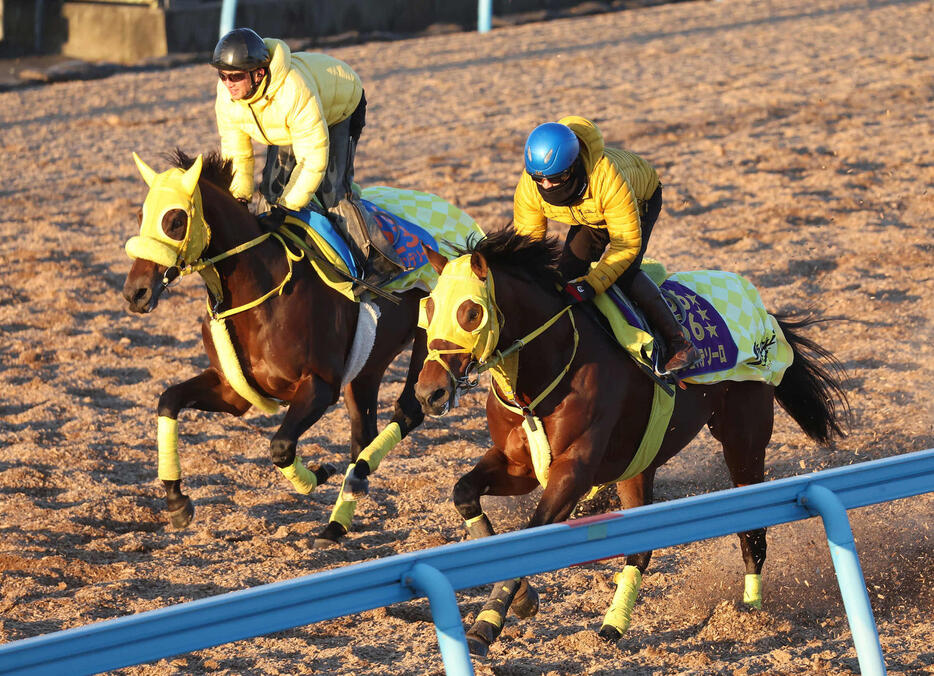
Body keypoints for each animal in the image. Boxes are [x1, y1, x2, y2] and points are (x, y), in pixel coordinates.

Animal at [122, 151, 482, 548]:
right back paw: (337, 521)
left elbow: (280, 447)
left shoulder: (320, 386)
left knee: (408, 411)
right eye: (140, 215)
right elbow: (168, 400)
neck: (263, 293)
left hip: (432, 348)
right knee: (363, 434)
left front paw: (319, 473)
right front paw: (176, 501)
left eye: (175, 220)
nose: (135, 292)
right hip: (368, 365)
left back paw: (355, 481)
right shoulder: (233, 393)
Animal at [414, 230, 848, 656]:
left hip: (743, 440)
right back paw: (613, 626)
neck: (540, 378)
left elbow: (528, 538)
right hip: (639, 465)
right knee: (641, 547)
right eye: (429, 307)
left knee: (752, 529)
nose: (428, 392)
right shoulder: (517, 465)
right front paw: (520, 599)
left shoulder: (573, 470)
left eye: (471, 312)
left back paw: (749, 614)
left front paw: (484, 626)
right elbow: (464, 494)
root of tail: (765, 316)